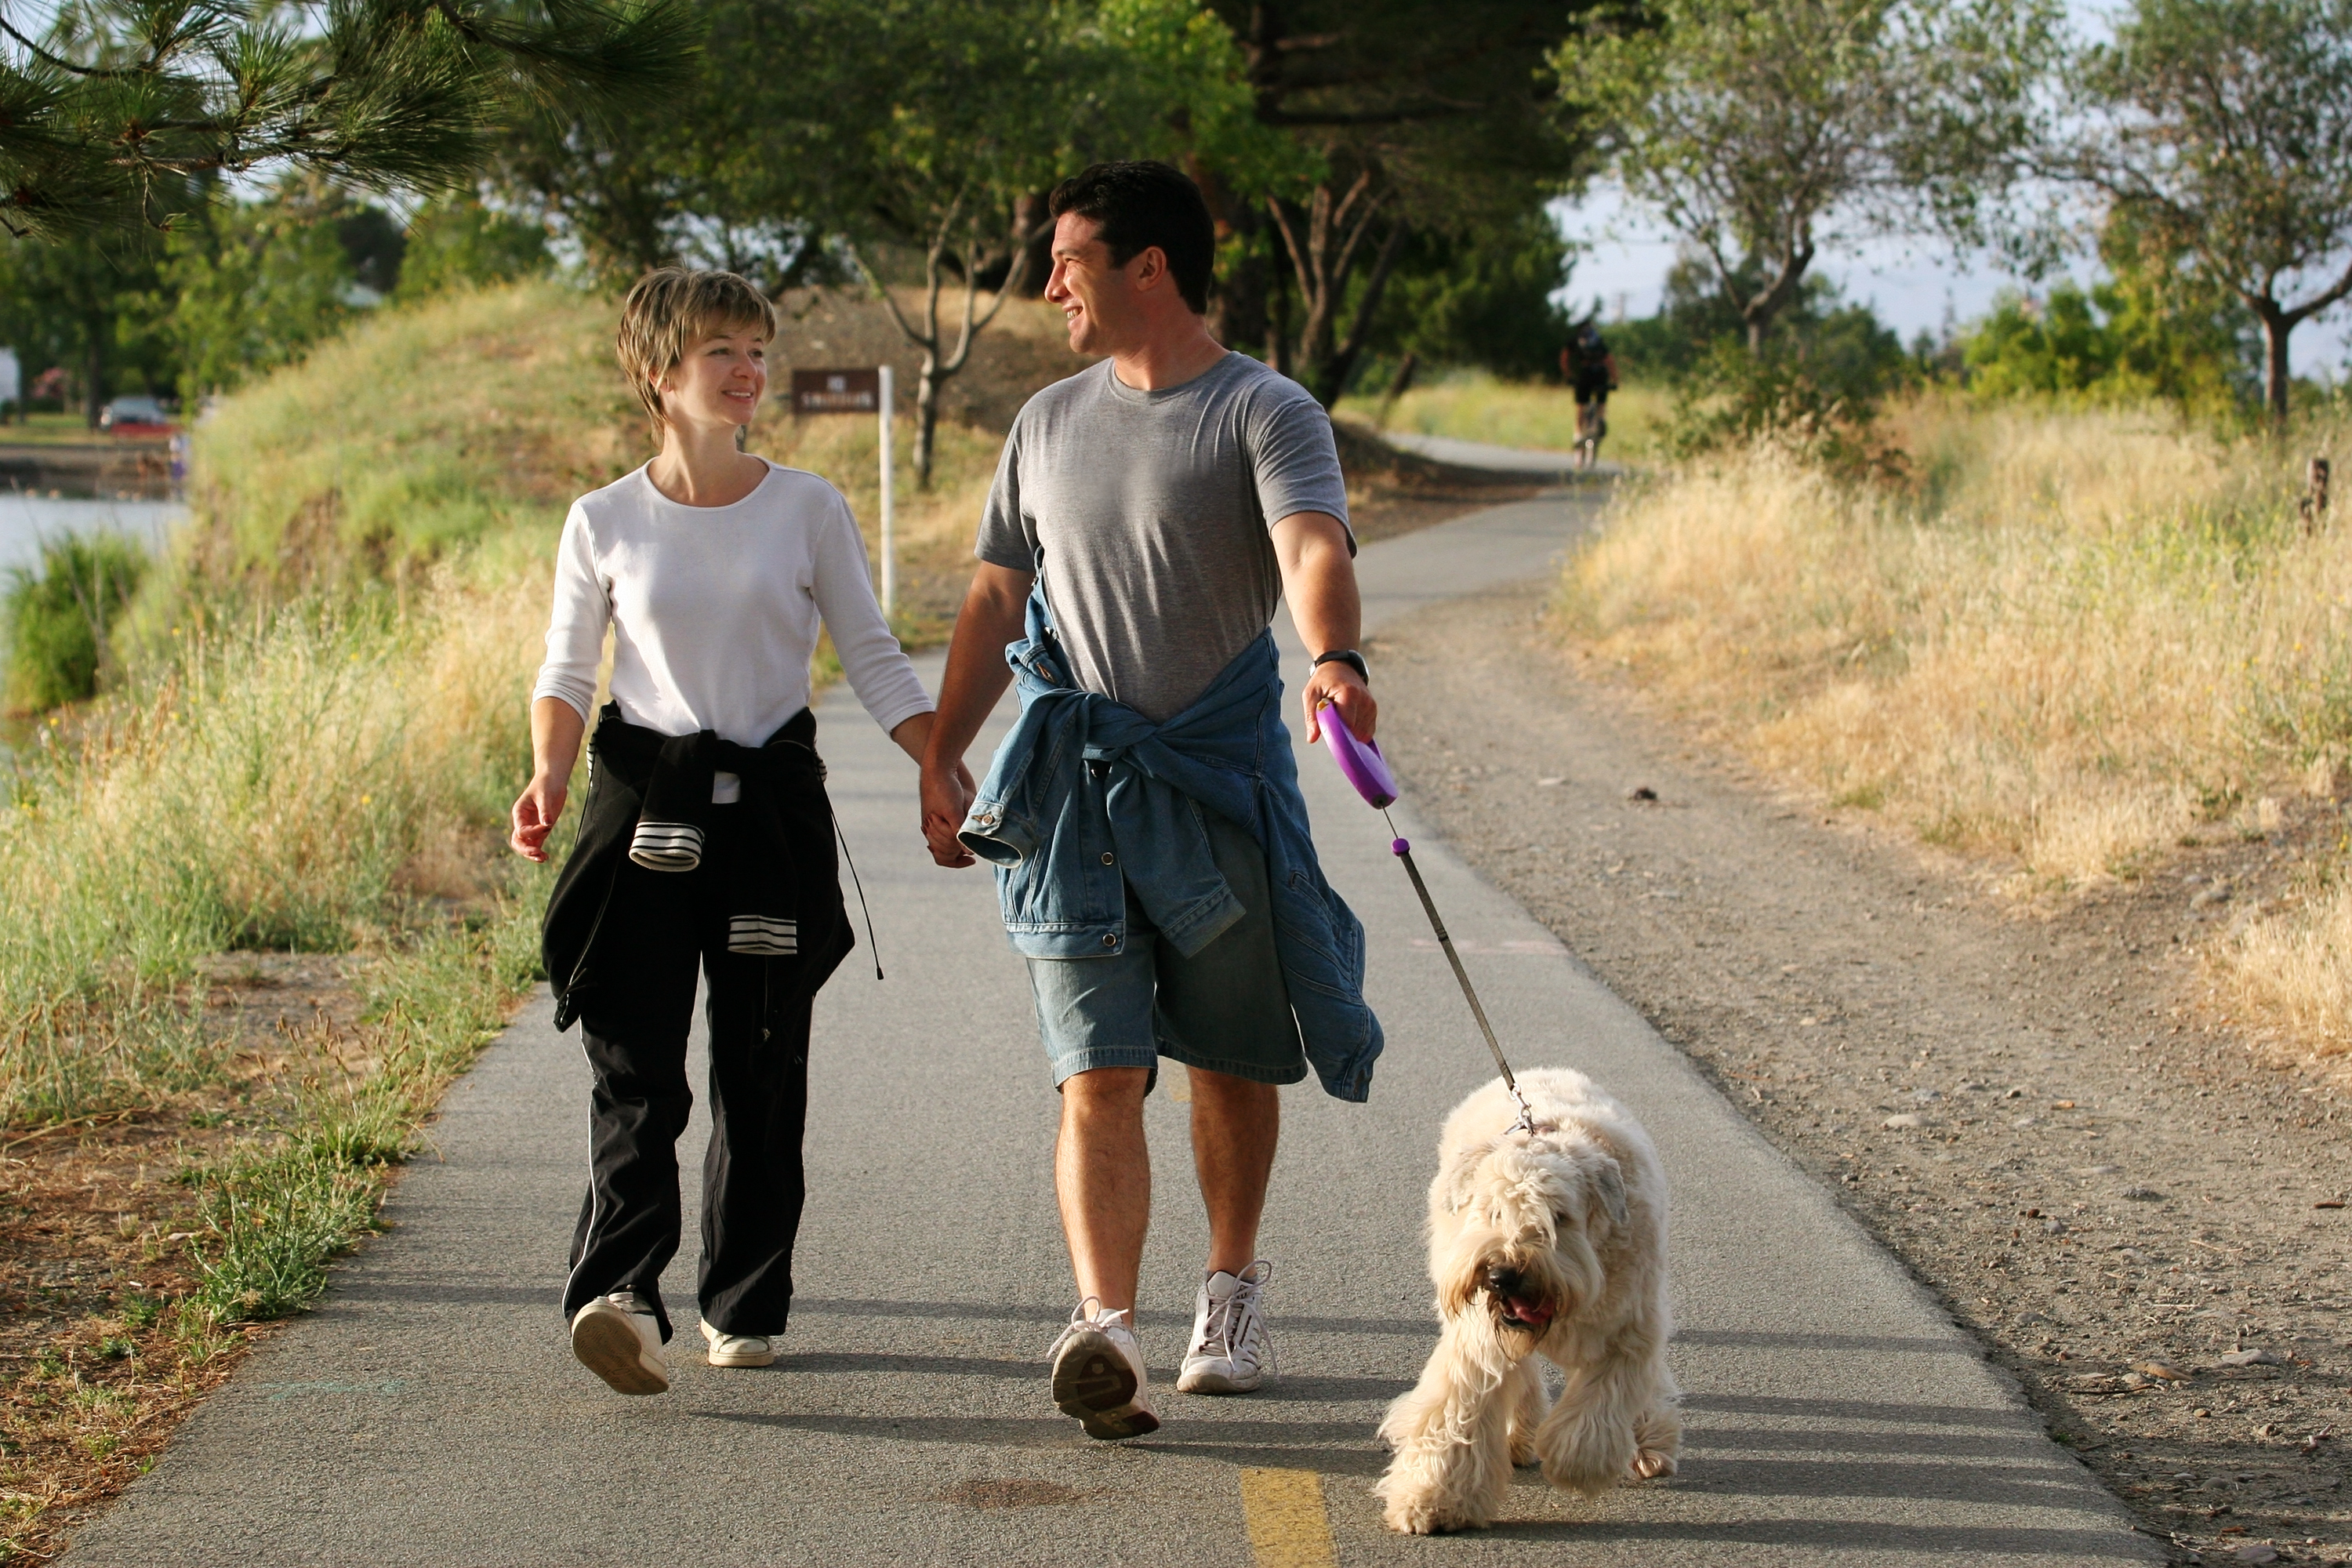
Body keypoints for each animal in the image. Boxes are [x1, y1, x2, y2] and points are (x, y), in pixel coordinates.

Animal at [1374, 1067, 1684, 1533]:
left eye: (1560, 1216)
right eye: (1492, 1210)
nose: (1503, 1275)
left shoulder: (1627, 1332)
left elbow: (1600, 1405)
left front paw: (1576, 1465)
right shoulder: (1479, 1341)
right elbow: (1460, 1409)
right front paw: (1434, 1498)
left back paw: (1647, 1446)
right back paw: (1519, 1438)